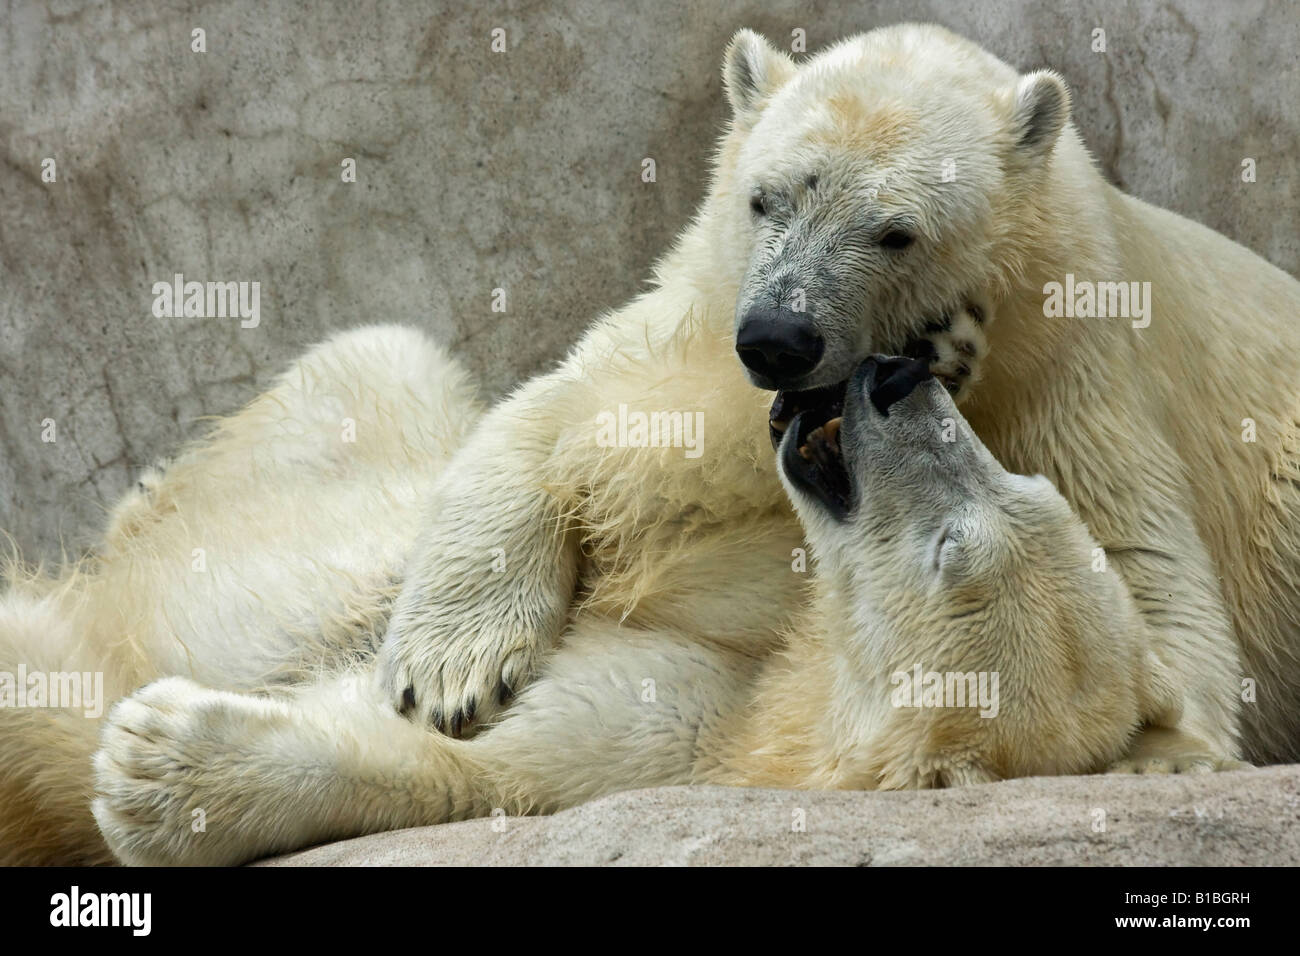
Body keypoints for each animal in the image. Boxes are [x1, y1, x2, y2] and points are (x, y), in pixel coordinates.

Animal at [83, 338, 1170, 868]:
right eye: (1033, 483)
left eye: (952, 550)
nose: (898, 379)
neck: (789, 695)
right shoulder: (760, 600)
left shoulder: (672, 744)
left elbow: (469, 767)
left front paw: (161, 768)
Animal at [379, 22, 1300, 775]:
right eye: (765, 198)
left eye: (896, 232)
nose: (779, 338)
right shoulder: (706, 316)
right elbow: (569, 418)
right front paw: (449, 674)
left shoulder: (1071, 356)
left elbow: (1138, 557)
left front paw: (1166, 747)